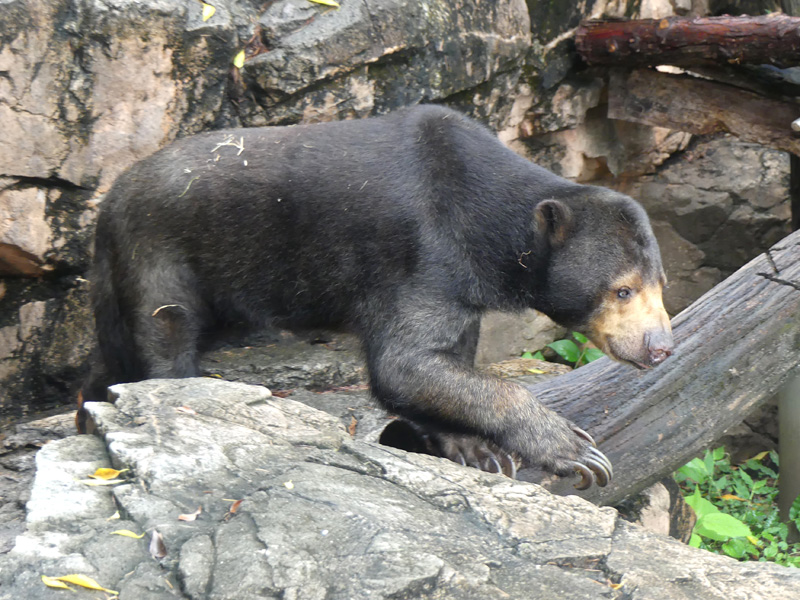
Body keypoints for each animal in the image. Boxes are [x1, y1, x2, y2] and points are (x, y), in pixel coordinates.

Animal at [81, 104, 672, 488]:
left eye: (659, 285)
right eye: (622, 289)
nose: (660, 346)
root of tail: (106, 205)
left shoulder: (461, 287)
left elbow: (440, 359)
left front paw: (472, 447)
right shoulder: (422, 252)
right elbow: (402, 363)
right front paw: (575, 449)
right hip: (161, 254)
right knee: (164, 334)